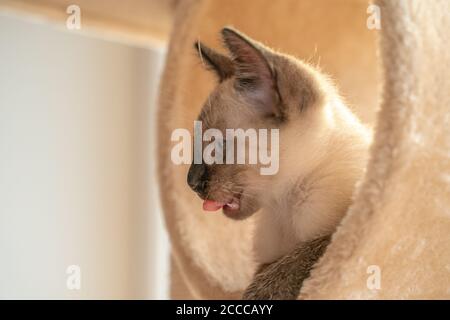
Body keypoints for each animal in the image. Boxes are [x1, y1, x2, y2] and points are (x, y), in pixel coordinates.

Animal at [185, 28, 370, 300]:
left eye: (217, 146)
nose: (191, 182)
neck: (285, 206)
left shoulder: (341, 234)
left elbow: (301, 257)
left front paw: (260, 292)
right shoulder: (267, 259)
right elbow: (266, 269)